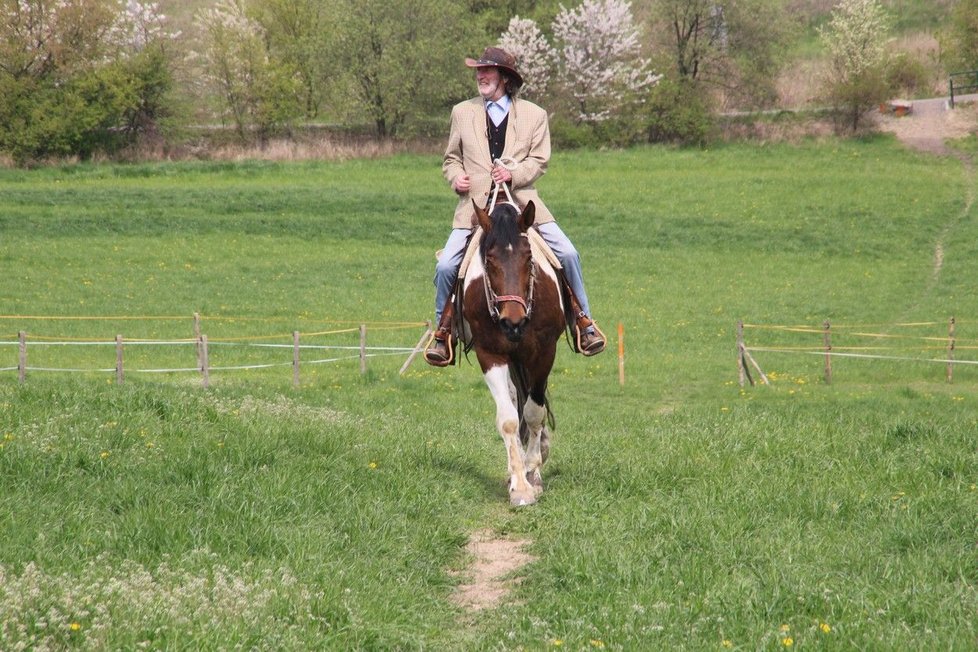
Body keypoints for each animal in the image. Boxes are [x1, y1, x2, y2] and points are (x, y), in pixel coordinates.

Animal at [464, 201, 564, 506]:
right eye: (489, 260)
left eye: (529, 258)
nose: (513, 322)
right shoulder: (490, 354)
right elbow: (509, 420)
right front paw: (519, 485)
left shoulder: (545, 352)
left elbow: (534, 413)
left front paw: (533, 473)